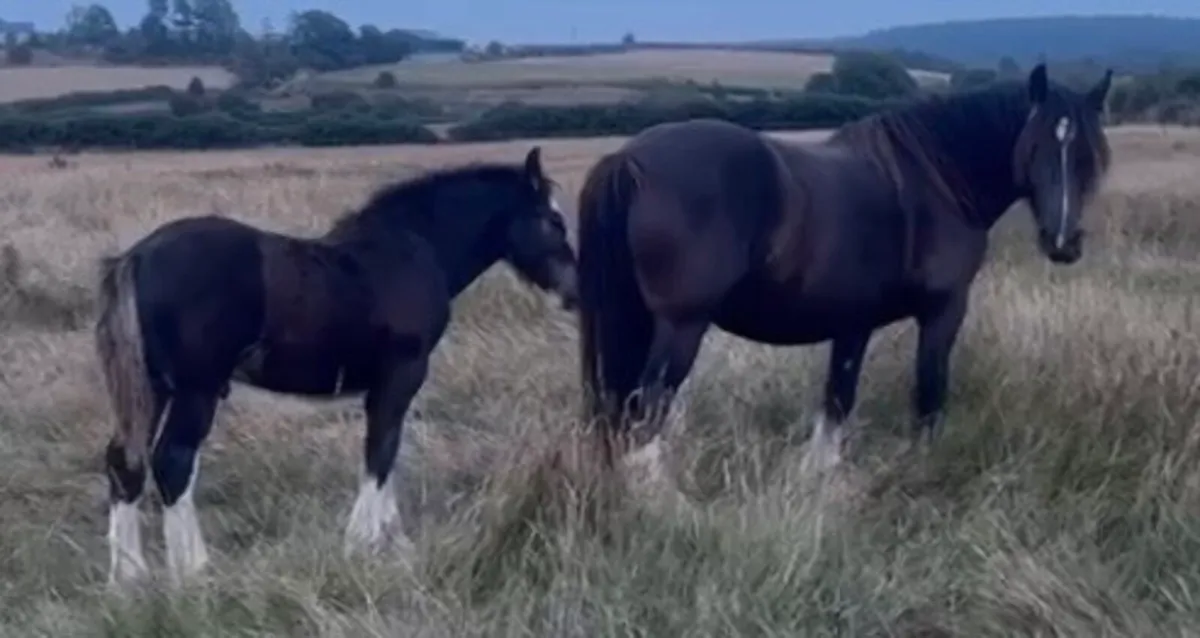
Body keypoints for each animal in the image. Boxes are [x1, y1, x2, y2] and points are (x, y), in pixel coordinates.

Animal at [96, 147, 578, 589]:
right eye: (552, 221)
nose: (574, 291)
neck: (413, 250)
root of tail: (136, 257)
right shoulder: (403, 373)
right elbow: (381, 451)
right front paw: (363, 542)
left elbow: (386, 451)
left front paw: (392, 541)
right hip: (197, 388)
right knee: (173, 461)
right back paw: (193, 571)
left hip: (153, 387)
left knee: (125, 462)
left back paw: (128, 578)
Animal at [575, 63, 1113, 482]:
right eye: (1034, 147)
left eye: (1089, 156)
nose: (1063, 243)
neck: (935, 178)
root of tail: (629, 159)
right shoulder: (943, 311)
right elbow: (929, 392)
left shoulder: (852, 322)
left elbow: (837, 400)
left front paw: (822, 477)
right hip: (680, 326)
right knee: (645, 413)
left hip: (634, 319)